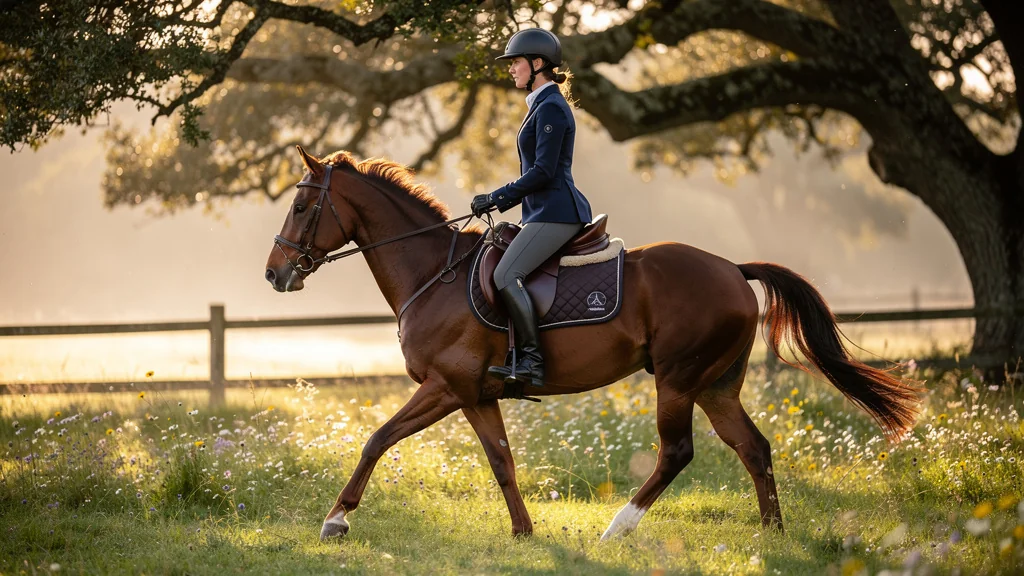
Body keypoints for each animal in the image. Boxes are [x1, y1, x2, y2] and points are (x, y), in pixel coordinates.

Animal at [264, 146, 922, 542]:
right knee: (753, 449)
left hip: (677, 380)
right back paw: (771, 534)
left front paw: (335, 521)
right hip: (715, 385)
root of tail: (733, 269)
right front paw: (524, 532)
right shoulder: (475, 395)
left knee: (678, 453)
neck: (435, 273)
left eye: (300, 204)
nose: (275, 275)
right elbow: (502, 462)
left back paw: (618, 528)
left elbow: (376, 438)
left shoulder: (444, 387)